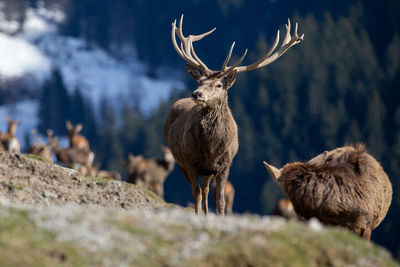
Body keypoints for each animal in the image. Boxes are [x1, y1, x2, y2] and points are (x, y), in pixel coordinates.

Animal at [162, 15, 304, 216]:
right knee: (200, 191)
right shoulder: (189, 160)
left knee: (206, 190)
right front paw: (198, 214)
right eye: (199, 81)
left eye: (219, 85)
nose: (197, 94)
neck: (211, 148)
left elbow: (220, 200)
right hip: (180, 161)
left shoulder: (225, 164)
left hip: (207, 171)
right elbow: (195, 194)